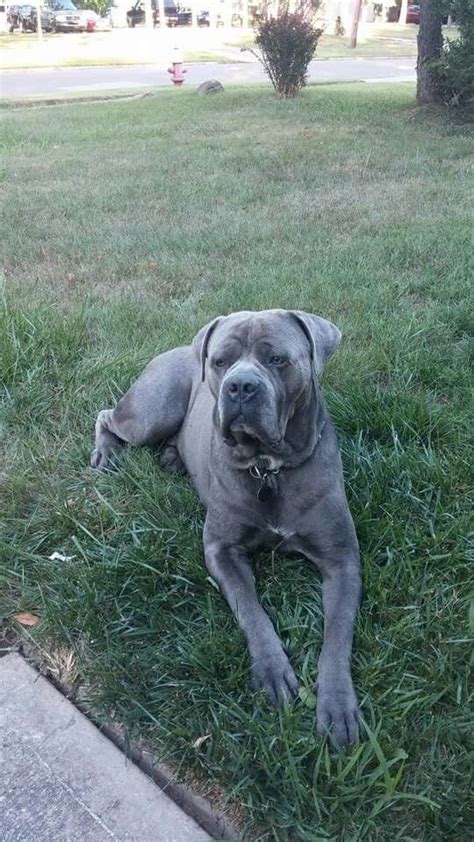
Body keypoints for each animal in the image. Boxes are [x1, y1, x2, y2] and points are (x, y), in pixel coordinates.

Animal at [90, 308, 362, 740]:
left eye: (277, 359)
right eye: (220, 362)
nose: (240, 386)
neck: (269, 467)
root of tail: (176, 348)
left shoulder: (342, 558)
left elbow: (338, 632)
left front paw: (337, 704)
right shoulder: (221, 550)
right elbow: (250, 609)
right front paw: (272, 670)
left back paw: (172, 457)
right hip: (151, 413)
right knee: (108, 417)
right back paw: (105, 453)